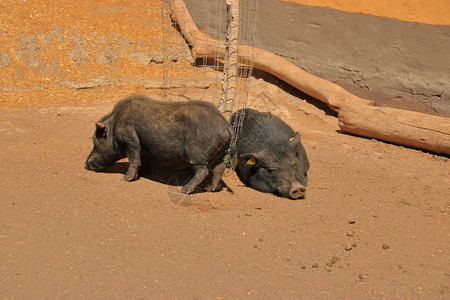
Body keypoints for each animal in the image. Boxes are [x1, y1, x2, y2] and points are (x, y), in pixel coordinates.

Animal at [85, 96, 232, 195]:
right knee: (220, 168)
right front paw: (143, 173)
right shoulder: (144, 147)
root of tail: (226, 126)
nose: (86, 165)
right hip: (221, 152)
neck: (115, 124)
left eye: (96, 141)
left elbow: (133, 158)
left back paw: (183, 190)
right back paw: (210, 189)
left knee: (203, 170)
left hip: (196, 154)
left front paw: (126, 179)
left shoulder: (130, 139)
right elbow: (142, 159)